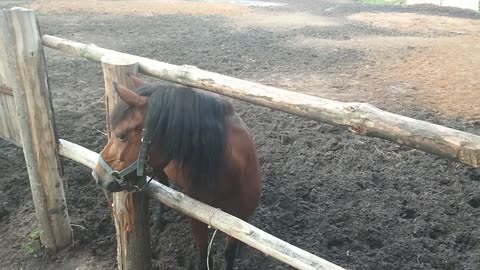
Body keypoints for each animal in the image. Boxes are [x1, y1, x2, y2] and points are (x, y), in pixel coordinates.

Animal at [91, 75, 260, 270]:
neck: (232, 173)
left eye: (121, 135)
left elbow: (229, 254)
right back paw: (159, 220)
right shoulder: (197, 219)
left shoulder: (239, 217)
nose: (97, 175)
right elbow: (203, 255)